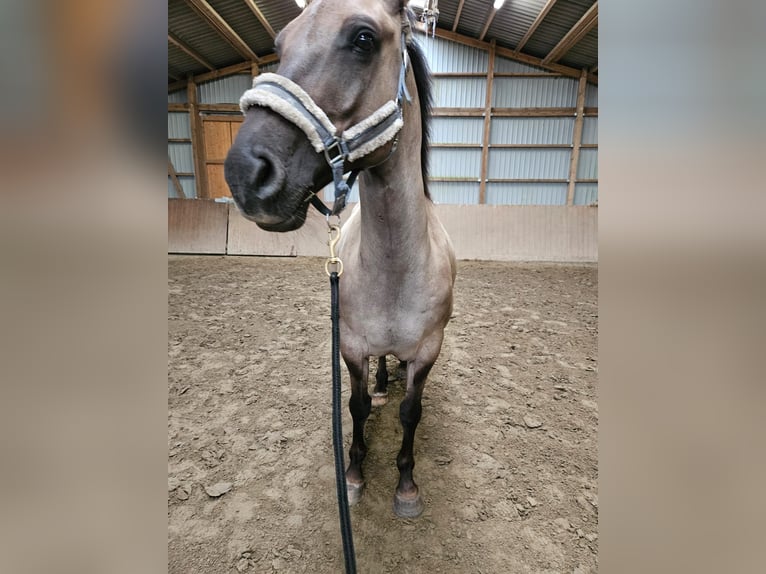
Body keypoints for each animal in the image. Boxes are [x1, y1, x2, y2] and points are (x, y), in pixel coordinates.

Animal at [225, 0, 460, 520]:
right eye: (280, 43)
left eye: (363, 39)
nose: (245, 173)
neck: (395, 270)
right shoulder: (350, 345)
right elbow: (355, 406)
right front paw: (353, 475)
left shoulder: (427, 352)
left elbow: (411, 412)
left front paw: (406, 486)